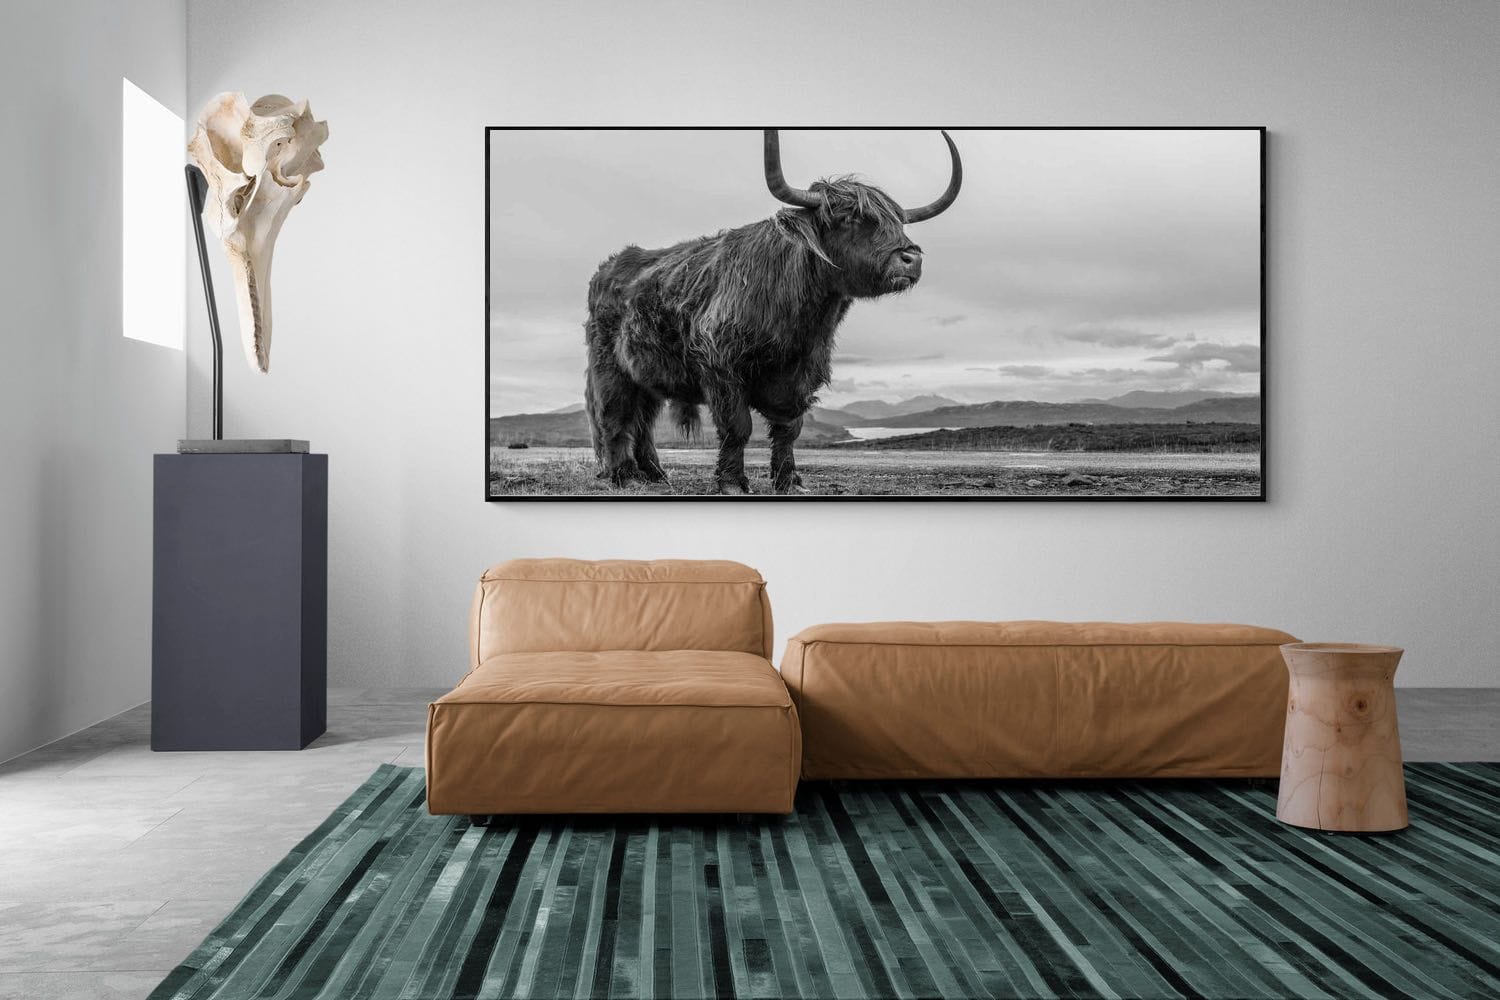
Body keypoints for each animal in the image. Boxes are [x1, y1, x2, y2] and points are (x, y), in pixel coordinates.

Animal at [584, 129, 961, 494]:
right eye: (849, 217)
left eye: (900, 222)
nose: (911, 257)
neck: (800, 323)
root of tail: (608, 268)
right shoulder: (721, 367)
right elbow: (737, 426)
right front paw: (732, 482)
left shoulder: (801, 374)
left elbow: (787, 429)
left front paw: (790, 480)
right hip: (611, 369)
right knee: (616, 415)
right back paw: (626, 476)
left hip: (647, 376)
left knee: (643, 421)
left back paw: (655, 475)